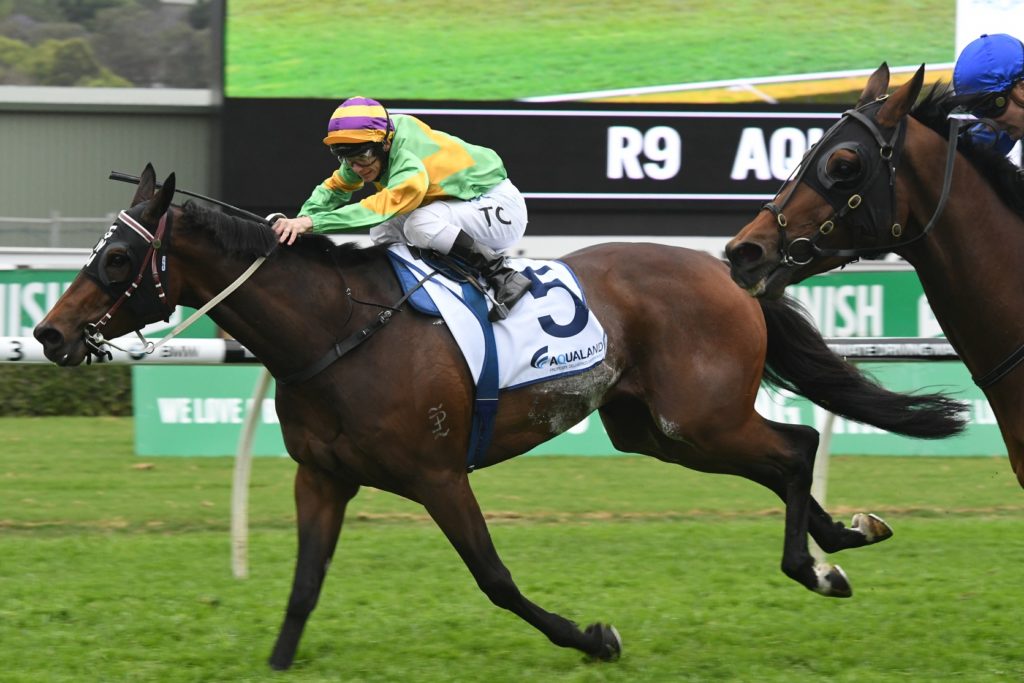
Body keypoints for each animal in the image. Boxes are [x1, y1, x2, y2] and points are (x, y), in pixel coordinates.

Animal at [33, 164, 965, 670]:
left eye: (117, 259)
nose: (47, 332)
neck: (334, 329)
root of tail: (728, 269)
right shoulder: (323, 477)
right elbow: (303, 586)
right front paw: (277, 661)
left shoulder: (438, 475)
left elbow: (496, 578)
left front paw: (593, 637)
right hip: (653, 429)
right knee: (784, 456)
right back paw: (843, 541)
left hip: (697, 417)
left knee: (796, 443)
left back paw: (820, 561)